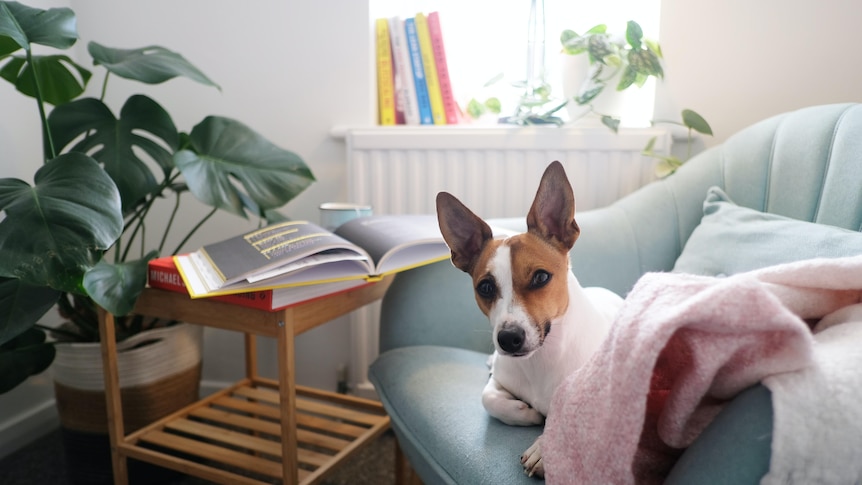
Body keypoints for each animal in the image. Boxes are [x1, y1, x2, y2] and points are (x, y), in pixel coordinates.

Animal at [436, 160, 624, 476]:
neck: (541, 361)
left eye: (540, 277)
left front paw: (544, 449)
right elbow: (488, 398)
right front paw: (524, 412)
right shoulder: (500, 380)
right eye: (485, 287)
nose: (508, 339)